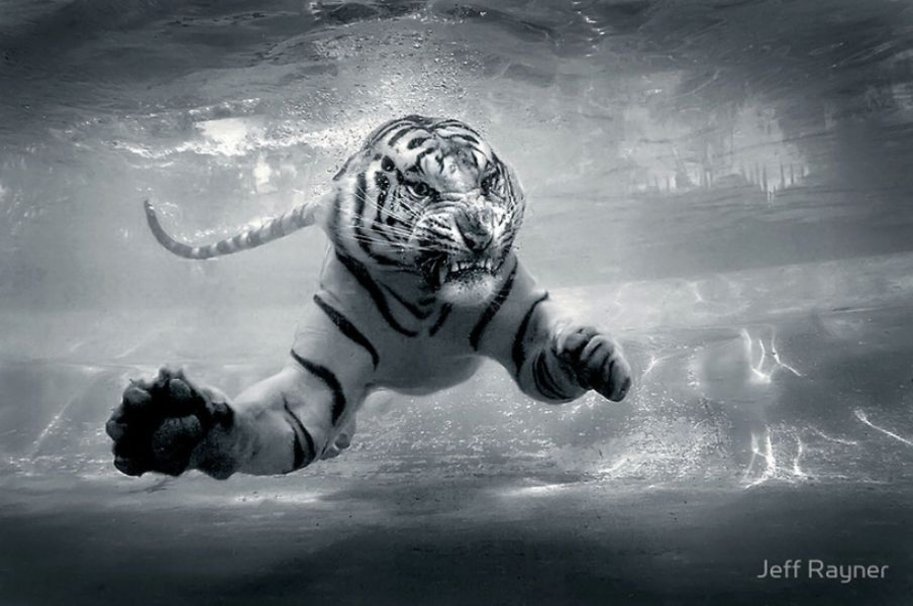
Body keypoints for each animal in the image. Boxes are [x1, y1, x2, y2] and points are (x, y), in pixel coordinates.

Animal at [105, 115, 633, 479]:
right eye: (419, 188)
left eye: (487, 182)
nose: (479, 232)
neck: (425, 299)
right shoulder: (316, 382)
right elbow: (269, 420)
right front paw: (168, 426)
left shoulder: (526, 333)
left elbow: (549, 363)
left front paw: (588, 355)